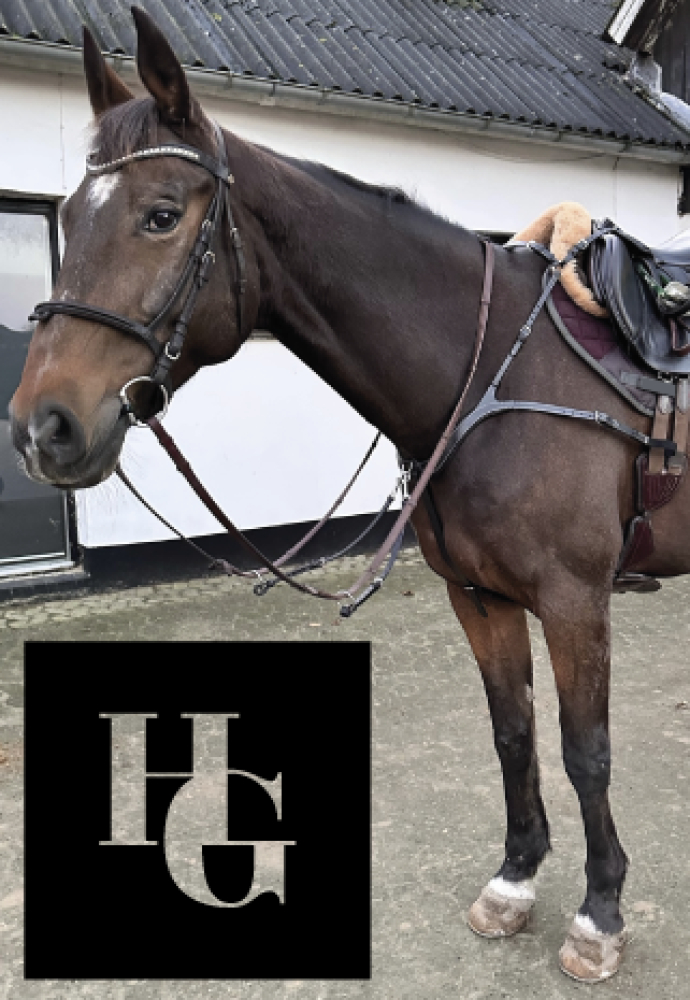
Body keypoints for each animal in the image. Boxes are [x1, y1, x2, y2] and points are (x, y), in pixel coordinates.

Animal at [10, 7, 690, 983]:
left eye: (161, 215)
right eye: (63, 214)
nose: (43, 428)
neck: (492, 371)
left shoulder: (573, 600)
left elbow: (584, 751)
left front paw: (599, 915)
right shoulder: (478, 597)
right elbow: (514, 733)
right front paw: (515, 880)